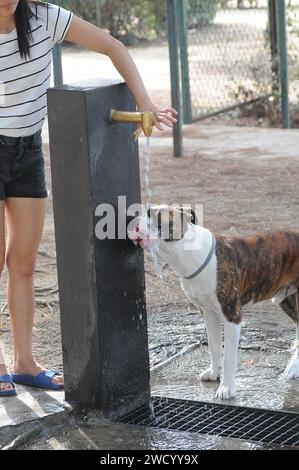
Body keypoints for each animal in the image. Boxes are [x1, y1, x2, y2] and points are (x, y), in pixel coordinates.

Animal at [128, 206, 299, 400]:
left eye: (151, 214)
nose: (132, 219)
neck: (187, 253)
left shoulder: (232, 315)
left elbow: (228, 357)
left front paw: (227, 387)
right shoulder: (208, 313)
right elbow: (215, 346)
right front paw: (214, 373)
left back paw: (293, 368)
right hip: (286, 299)